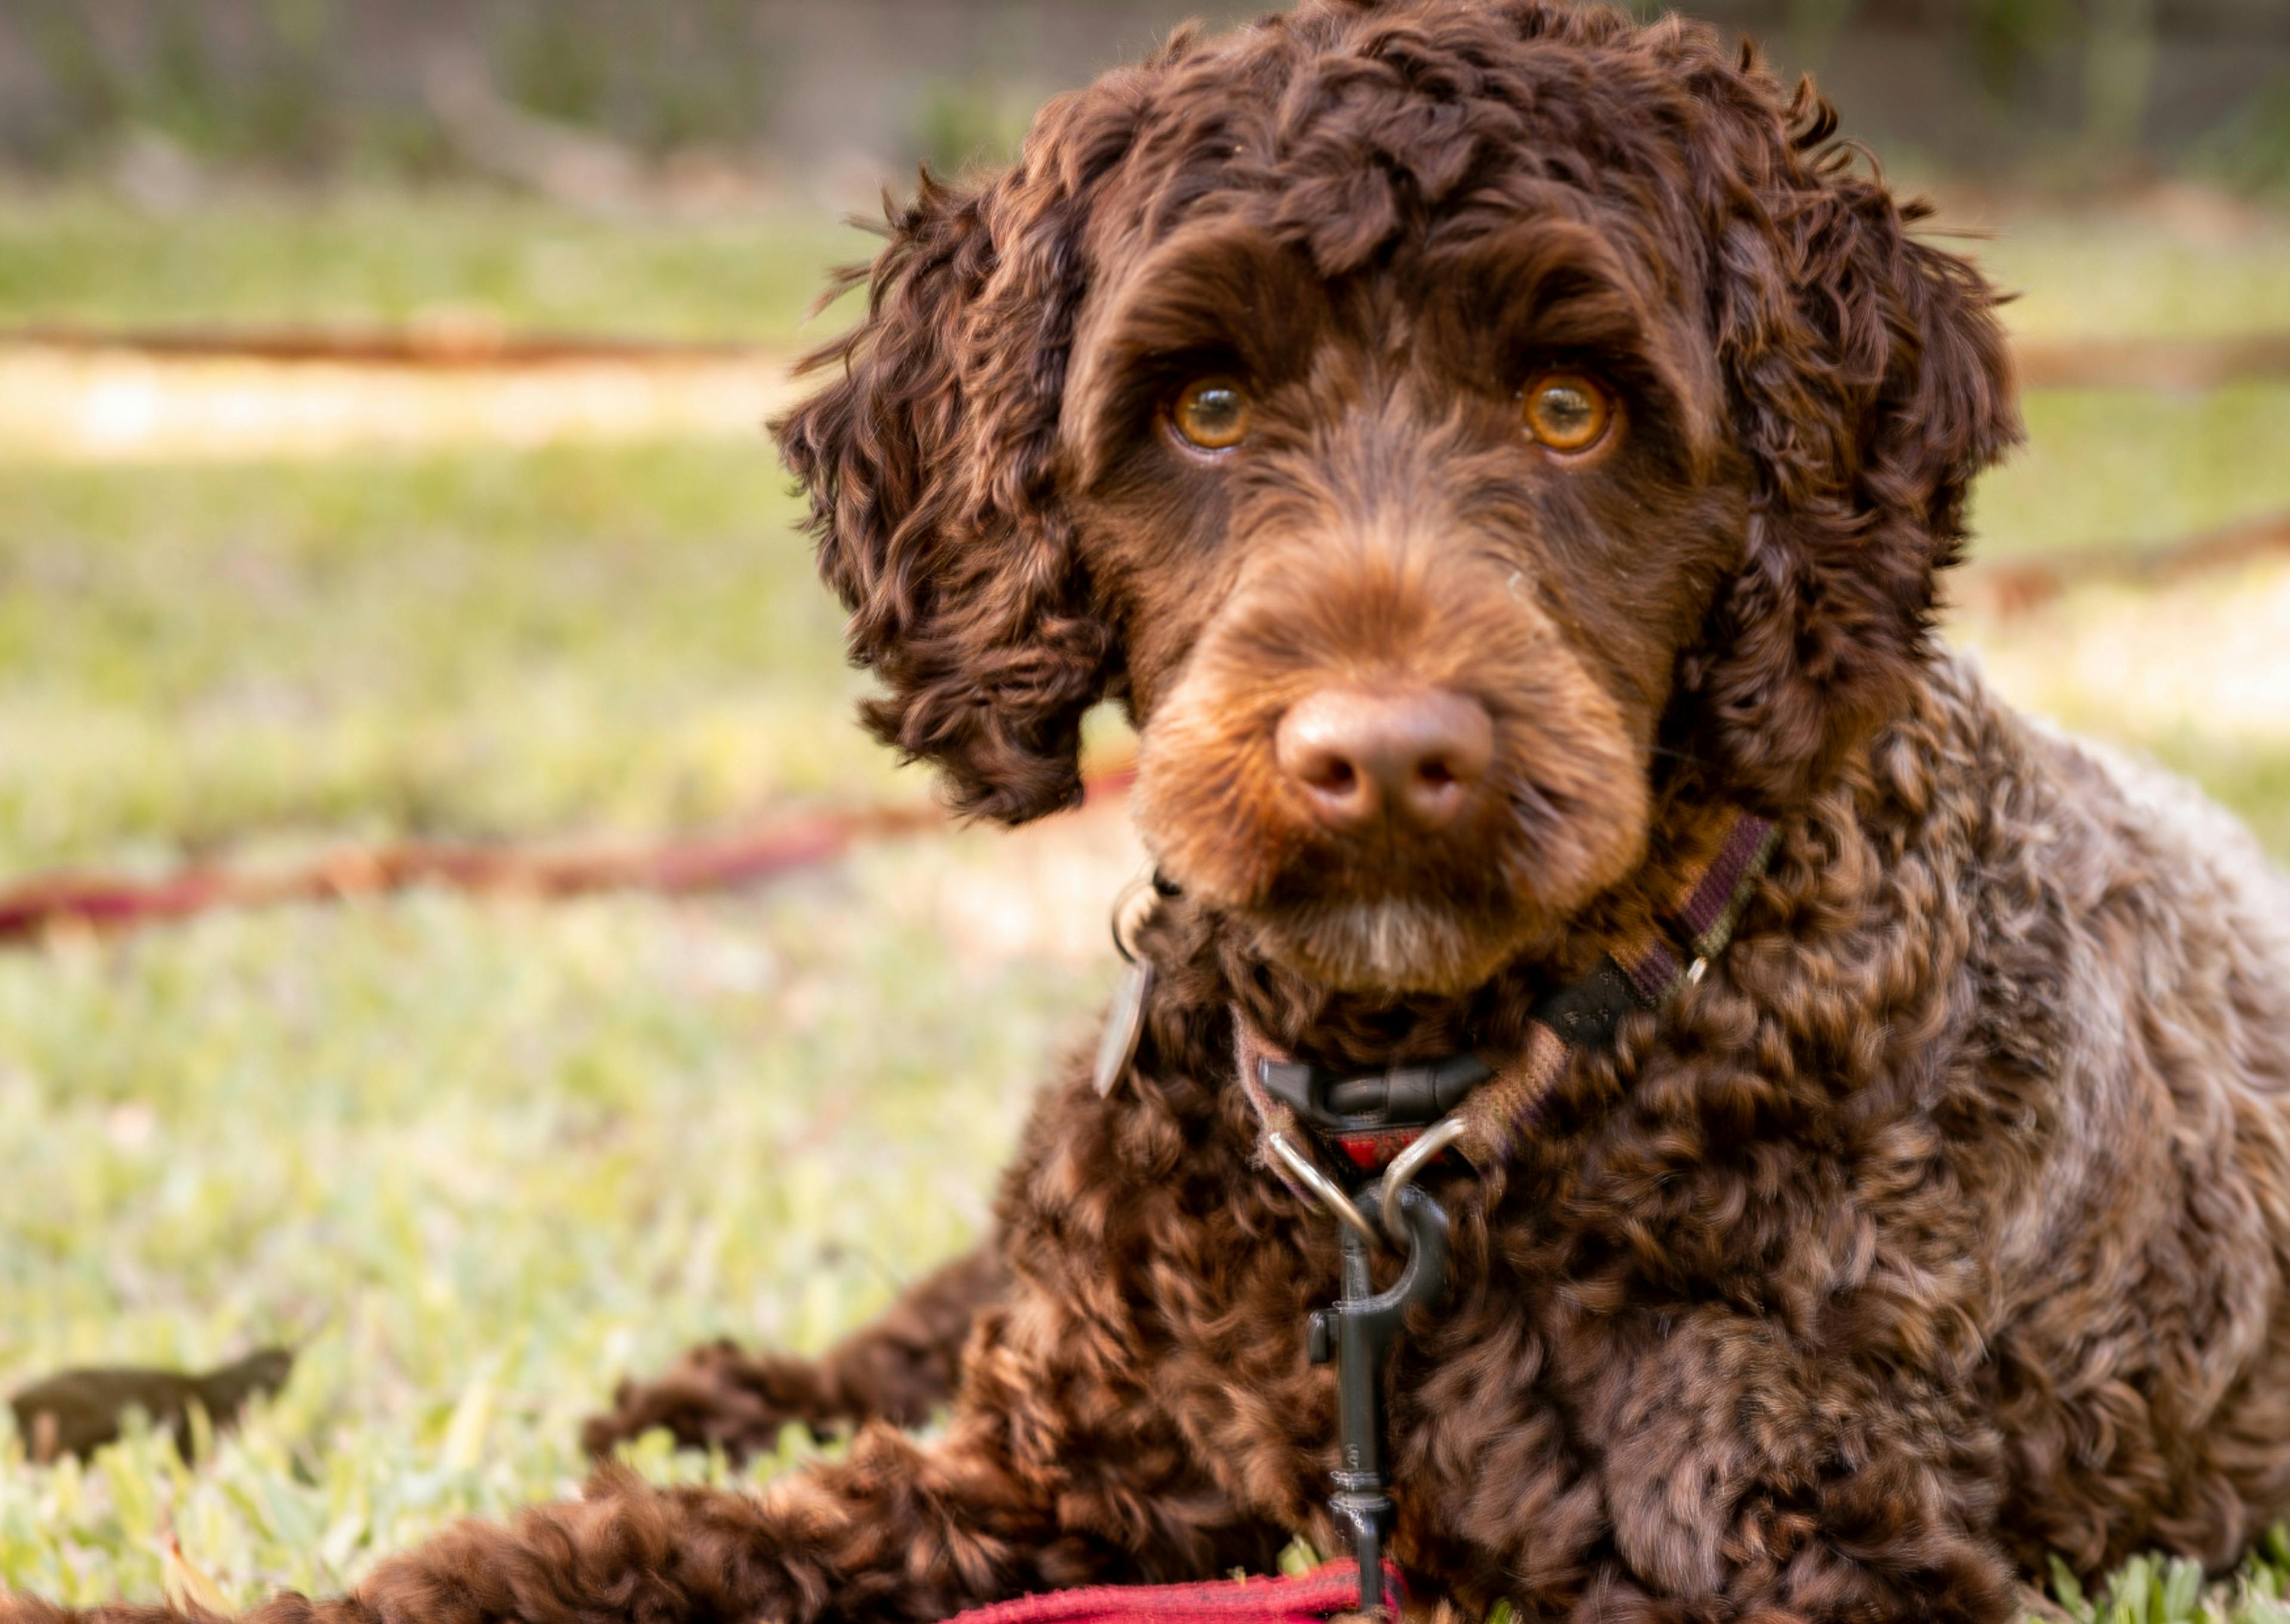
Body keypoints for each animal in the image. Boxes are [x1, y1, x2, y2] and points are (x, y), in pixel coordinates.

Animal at [27, 3, 2290, 1622]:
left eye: (1573, 409)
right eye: (1206, 407)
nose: (1381, 752)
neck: (1416, 1131)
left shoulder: (1805, 1544)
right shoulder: (1046, 1481)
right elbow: (640, 1555)